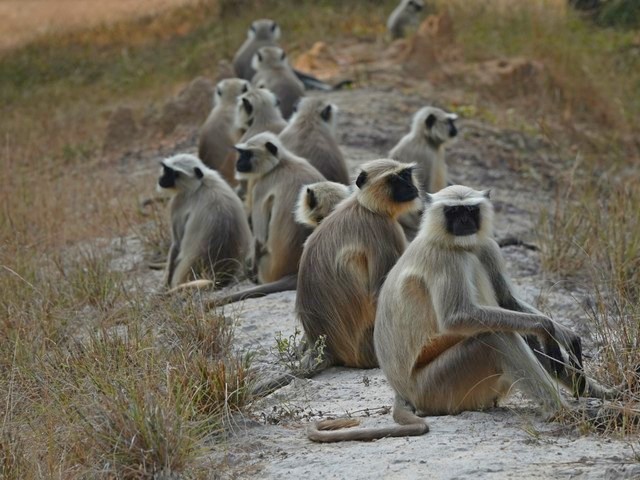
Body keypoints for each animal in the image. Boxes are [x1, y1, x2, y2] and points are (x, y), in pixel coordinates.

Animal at [156, 154, 251, 291]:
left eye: (174, 173)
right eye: (165, 170)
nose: (161, 178)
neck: (200, 184)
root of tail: (219, 277)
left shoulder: (178, 202)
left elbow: (176, 244)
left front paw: (164, 286)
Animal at [296, 159, 421, 372]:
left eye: (406, 175)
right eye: (394, 180)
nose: (411, 187)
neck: (366, 207)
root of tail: (326, 350)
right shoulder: (384, 229)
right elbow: (379, 294)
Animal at [308, 185, 616, 442]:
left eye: (470, 211)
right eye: (453, 212)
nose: (464, 223)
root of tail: (402, 392)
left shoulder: (487, 246)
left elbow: (507, 299)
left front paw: (562, 334)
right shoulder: (444, 257)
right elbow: (458, 318)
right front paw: (546, 327)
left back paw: (605, 395)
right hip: (437, 388)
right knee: (496, 336)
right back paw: (563, 412)